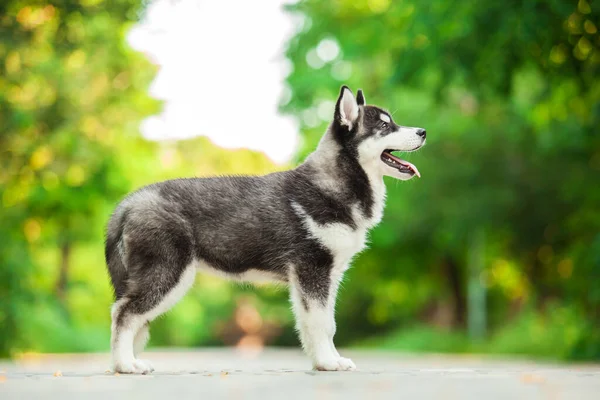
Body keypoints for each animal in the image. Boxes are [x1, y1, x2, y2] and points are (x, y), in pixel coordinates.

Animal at [104, 85, 426, 372]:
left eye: (392, 121)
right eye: (384, 126)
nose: (423, 132)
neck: (333, 185)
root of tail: (129, 201)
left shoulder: (322, 277)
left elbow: (321, 324)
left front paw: (324, 361)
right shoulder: (313, 270)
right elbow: (322, 324)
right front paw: (329, 362)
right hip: (168, 274)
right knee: (123, 313)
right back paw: (125, 365)